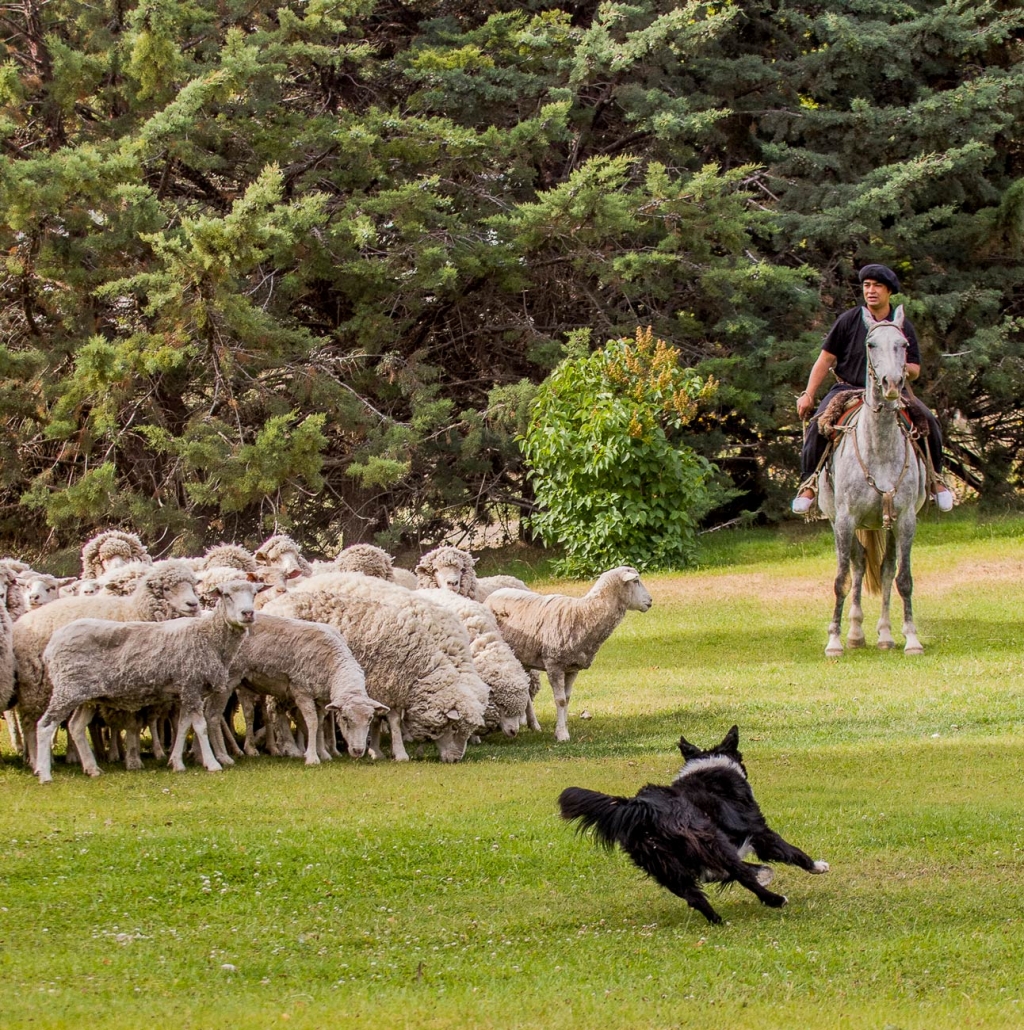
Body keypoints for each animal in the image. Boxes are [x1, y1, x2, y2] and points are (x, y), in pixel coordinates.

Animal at [12, 560, 201, 768]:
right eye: (166, 588)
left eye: (193, 586)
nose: (193, 604)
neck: (132, 611)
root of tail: (24, 620)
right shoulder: (127, 685)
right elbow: (131, 724)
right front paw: (132, 759)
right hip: (34, 686)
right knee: (30, 724)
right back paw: (35, 759)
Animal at [35, 579, 265, 783]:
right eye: (226, 595)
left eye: (254, 593)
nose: (248, 614)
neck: (208, 636)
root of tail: (51, 645)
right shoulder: (191, 684)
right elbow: (200, 727)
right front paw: (212, 764)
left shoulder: (186, 691)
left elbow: (183, 726)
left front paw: (176, 762)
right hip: (67, 689)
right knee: (45, 726)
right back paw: (44, 773)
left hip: (86, 696)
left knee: (75, 727)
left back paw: (92, 769)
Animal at [263, 573, 487, 763]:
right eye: (454, 728)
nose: (456, 759)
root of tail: (272, 604)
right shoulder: (383, 683)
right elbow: (391, 721)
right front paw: (394, 752)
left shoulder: (390, 686)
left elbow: (381, 718)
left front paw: (379, 750)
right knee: (277, 711)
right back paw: (291, 747)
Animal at [484, 566, 653, 743]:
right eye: (636, 581)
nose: (650, 601)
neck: (584, 614)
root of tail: (494, 594)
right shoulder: (554, 665)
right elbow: (560, 701)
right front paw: (561, 734)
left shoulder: (572, 668)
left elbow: (567, 698)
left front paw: (564, 726)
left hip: (523, 659)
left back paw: (534, 724)